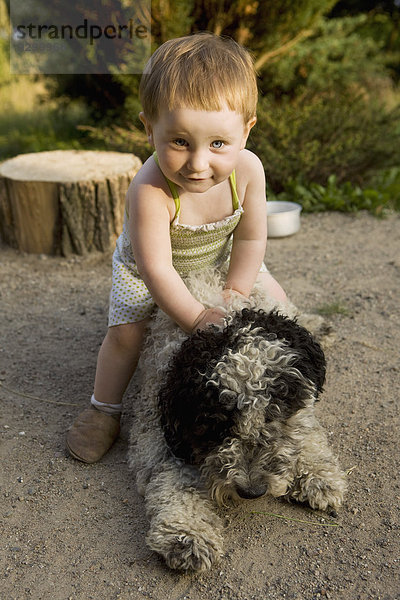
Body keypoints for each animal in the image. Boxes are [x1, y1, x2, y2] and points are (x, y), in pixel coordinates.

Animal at [129, 268, 346, 572]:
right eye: (215, 425)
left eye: (274, 413)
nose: (252, 491)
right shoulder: (159, 434)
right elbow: (175, 481)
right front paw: (187, 534)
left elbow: (306, 431)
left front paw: (317, 474)